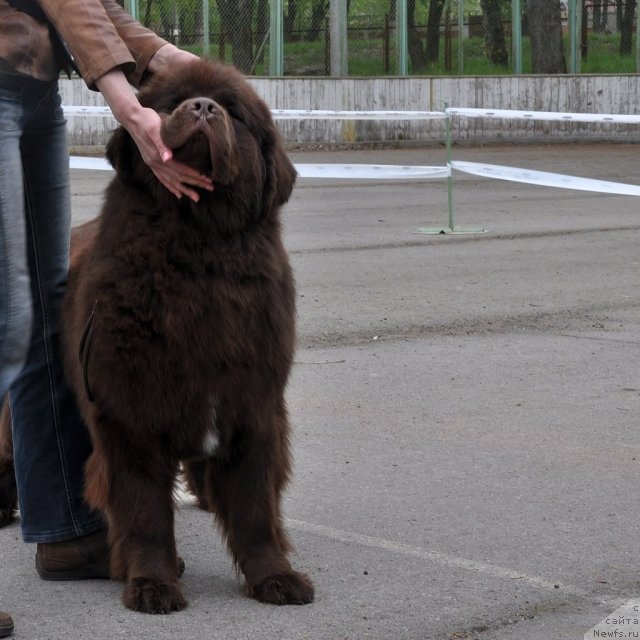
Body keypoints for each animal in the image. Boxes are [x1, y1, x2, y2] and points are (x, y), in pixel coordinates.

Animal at [0, 60, 312, 616]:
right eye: (171, 104)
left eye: (232, 111)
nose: (203, 108)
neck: (198, 255)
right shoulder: (130, 413)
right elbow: (144, 510)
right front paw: (152, 585)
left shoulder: (253, 407)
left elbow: (255, 508)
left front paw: (275, 577)